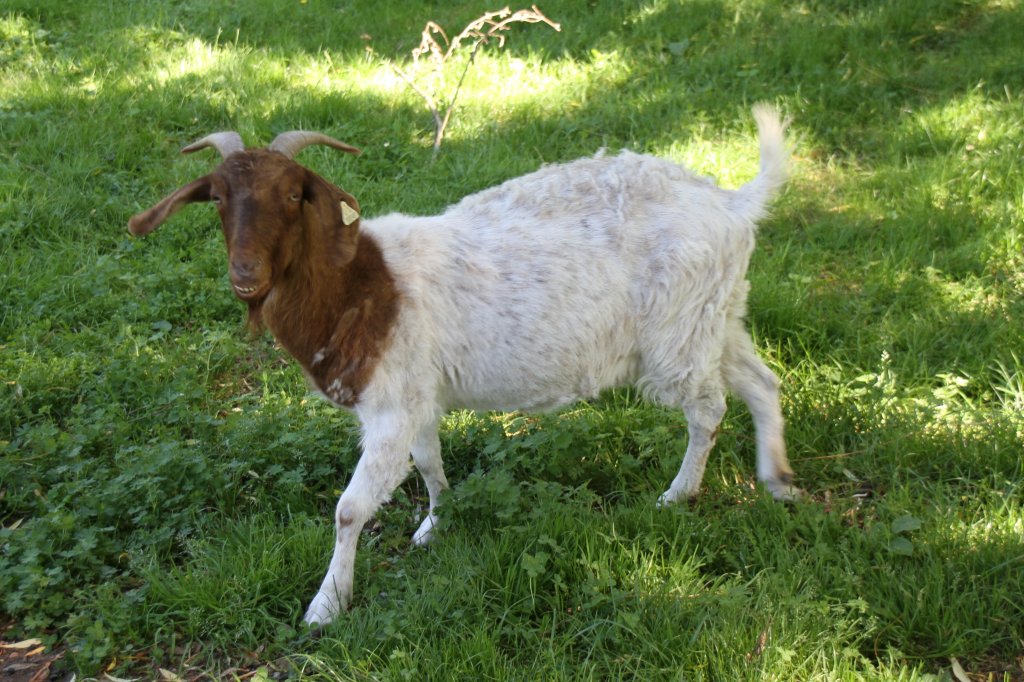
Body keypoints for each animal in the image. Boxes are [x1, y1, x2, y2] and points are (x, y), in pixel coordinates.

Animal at [128, 104, 798, 622]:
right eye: (217, 198)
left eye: (295, 194)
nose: (246, 274)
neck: (356, 285)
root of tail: (733, 203)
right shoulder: (419, 396)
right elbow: (428, 460)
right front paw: (436, 524)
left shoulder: (391, 405)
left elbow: (349, 509)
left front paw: (326, 606)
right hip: (715, 315)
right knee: (762, 382)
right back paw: (777, 479)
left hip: (677, 336)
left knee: (707, 409)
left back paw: (678, 495)